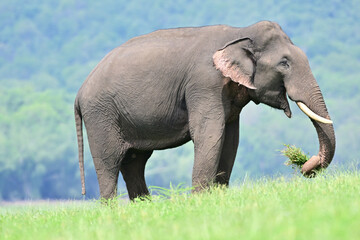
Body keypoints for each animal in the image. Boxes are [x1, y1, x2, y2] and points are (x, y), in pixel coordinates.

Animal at [74, 21, 336, 201]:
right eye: (284, 63)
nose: (304, 166)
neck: (239, 33)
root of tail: (80, 92)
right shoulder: (205, 84)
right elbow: (209, 134)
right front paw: (200, 200)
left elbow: (230, 139)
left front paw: (218, 197)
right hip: (100, 114)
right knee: (109, 162)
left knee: (134, 162)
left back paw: (144, 206)